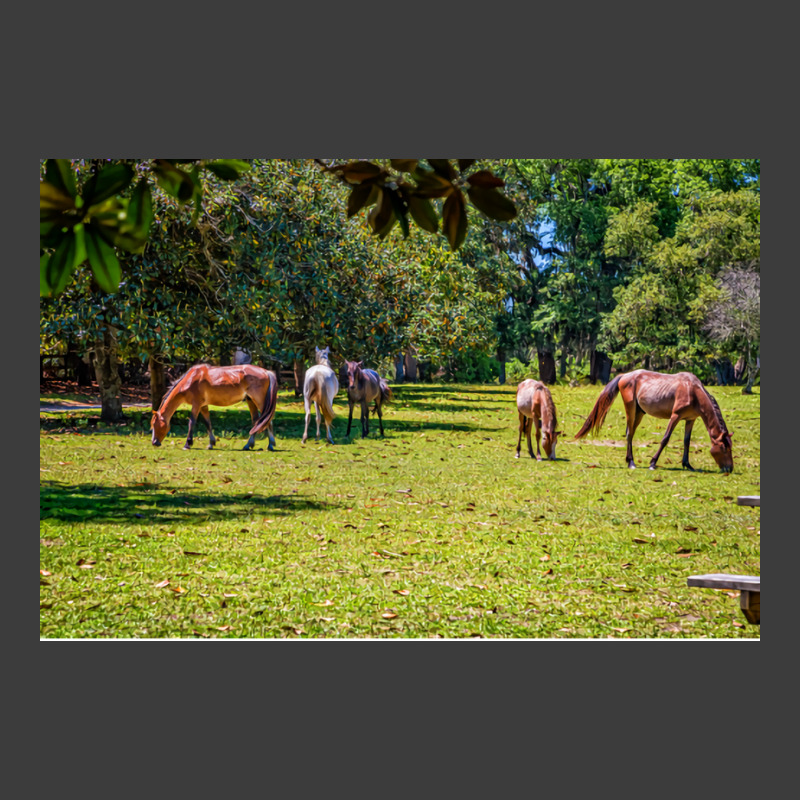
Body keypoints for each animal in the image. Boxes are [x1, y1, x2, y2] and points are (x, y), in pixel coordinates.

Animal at [152, 362, 280, 450]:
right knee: (256, 421)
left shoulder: (196, 404)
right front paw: (211, 444)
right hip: (250, 401)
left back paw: (270, 445)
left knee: (267, 420)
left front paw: (187, 444)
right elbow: (208, 423)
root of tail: (266, 372)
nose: (154, 442)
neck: (191, 379)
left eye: (154, 424)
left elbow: (191, 422)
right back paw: (248, 445)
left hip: (259, 401)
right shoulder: (203, 406)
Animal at [572, 370, 736, 472]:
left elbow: (686, 442)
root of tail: (625, 375)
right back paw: (631, 463)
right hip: (631, 409)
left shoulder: (690, 419)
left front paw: (687, 465)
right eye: (724, 448)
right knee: (629, 433)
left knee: (630, 433)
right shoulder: (675, 416)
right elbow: (665, 439)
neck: (693, 390)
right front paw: (652, 463)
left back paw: (629, 460)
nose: (729, 469)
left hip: (639, 413)